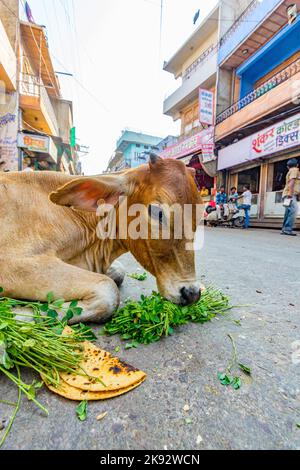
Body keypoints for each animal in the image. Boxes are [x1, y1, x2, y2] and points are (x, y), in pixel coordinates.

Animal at [0, 154, 202, 324]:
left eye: (200, 215)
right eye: (158, 213)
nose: (191, 293)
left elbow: (118, 272)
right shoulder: (13, 262)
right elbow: (108, 292)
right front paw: (18, 314)